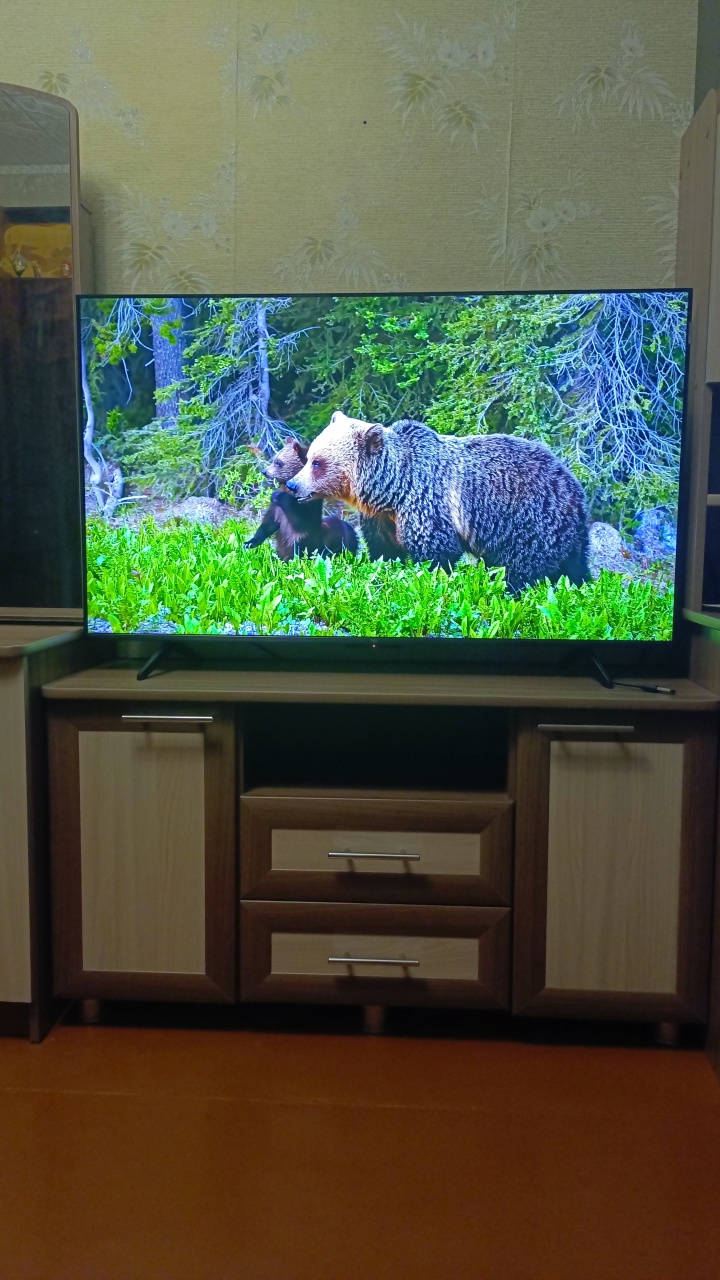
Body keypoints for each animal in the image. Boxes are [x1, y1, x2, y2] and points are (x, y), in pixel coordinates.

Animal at [285, 411, 590, 590]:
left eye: (317, 463)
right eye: (309, 456)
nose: (293, 485)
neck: (393, 488)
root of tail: (575, 489)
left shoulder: (427, 502)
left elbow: (437, 550)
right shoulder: (383, 517)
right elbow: (384, 548)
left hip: (528, 523)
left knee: (521, 567)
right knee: (574, 567)